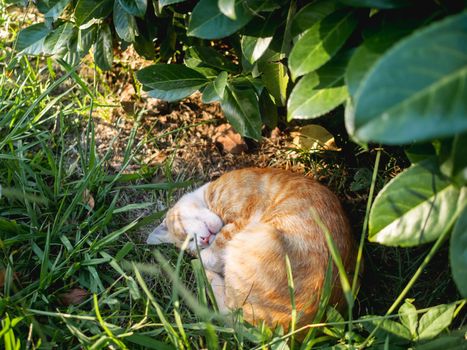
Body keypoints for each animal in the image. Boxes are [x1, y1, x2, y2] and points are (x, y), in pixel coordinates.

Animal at [148, 168, 356, 332]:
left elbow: (213, 251)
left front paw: (204, 258)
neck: (208, 197)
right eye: (192, 244)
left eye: (188, 238)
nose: (203, 240)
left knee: (228, 312)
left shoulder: (242, 219)